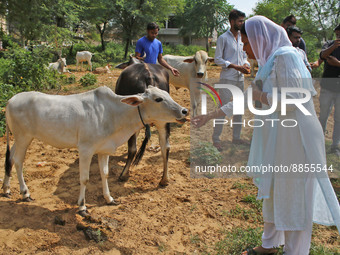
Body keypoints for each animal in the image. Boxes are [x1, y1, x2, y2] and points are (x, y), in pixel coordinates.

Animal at [3, 85, 189, 213]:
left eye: (168, 94)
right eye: (158, 99)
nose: (184, 111)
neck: (113, 114)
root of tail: (10, 100)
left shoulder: (103, 150)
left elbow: (104, 174)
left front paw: (109, 198)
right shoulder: (85, 149)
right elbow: (84, 179)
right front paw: (82, 207)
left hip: (19, 138)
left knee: (10, 159)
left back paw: (6, 189)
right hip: (24, 137)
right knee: (18, 161)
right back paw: (25, 193)